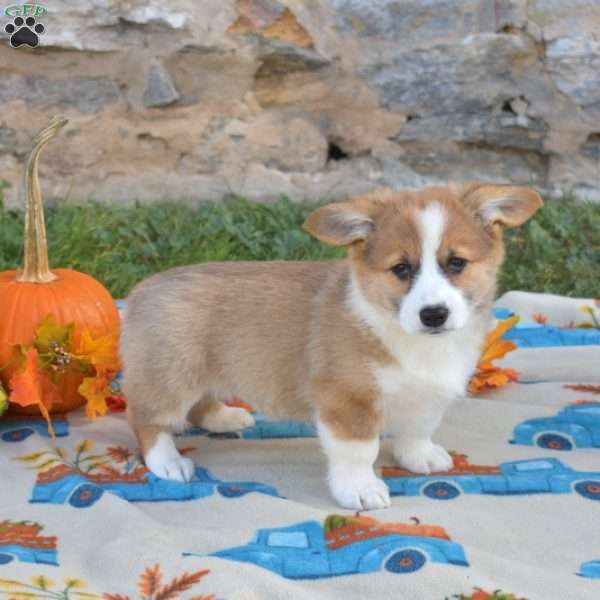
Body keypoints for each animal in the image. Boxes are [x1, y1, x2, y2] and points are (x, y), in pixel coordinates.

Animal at [119, 180, 540, 508]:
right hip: (171, 377)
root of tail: (140, 290)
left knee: (198, 405)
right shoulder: (347, 401)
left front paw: (419, 457)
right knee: (148, 419)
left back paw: (225, 418)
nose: (433, 314)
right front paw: (361, 490)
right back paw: (168, 462)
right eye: (401, 269)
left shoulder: (428, 396)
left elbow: (419, 428)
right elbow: (359, 451)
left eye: (456, 264)